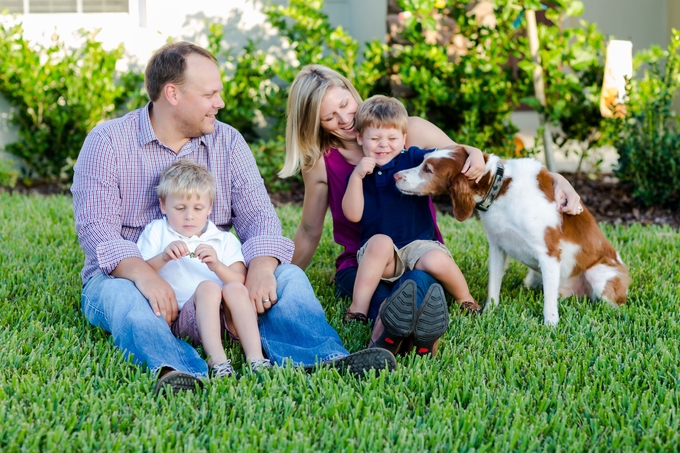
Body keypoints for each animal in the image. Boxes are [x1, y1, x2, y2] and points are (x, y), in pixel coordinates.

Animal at [394, 147, 632, 324]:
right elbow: (493, 285)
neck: (499, 188)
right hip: (533, 279)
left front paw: (551, 325)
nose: (395, 175)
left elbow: (549, 303)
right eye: (422, 162)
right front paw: (490, 311)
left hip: (598, 275)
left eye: (428, 169)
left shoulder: (549, 253)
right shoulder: (497, 246)